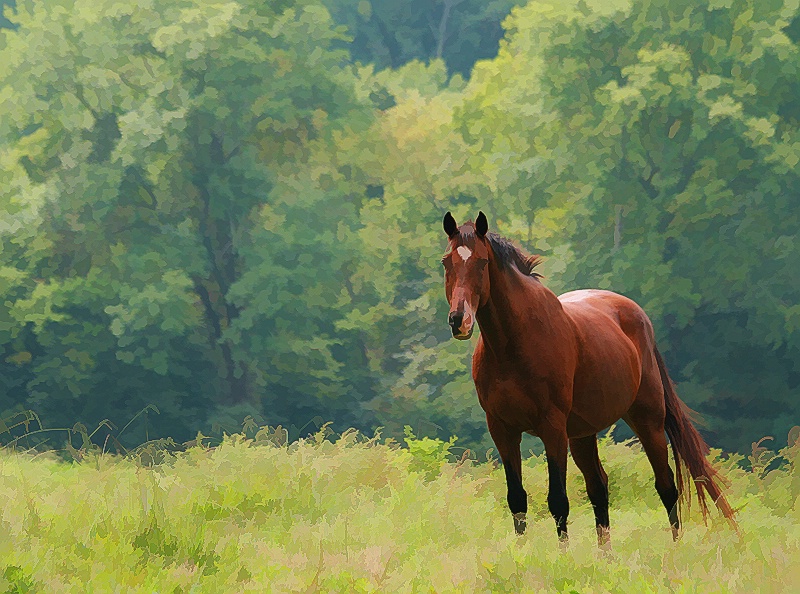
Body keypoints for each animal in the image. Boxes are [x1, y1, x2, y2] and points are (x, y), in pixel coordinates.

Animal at [440, 210, 736, 544]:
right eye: (446, 261)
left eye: (482, 262)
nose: (459, 320)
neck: (513, 344)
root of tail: (638, 316)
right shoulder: (503, 429)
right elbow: (517, 499)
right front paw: (521, 552)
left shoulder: (552, 427)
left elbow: (558, 500)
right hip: (582, 434)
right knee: (599, 486)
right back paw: (605, 553)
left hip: (647, 420)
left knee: (666, 486)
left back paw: (675, 548)